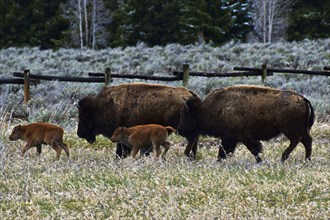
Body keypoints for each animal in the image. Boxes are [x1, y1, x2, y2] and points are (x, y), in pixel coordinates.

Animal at [178, 85, 314, 162]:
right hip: (301, 128)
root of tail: (301, 98)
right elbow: (222, 152)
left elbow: (254, 149)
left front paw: (259, 161)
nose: (180, 130)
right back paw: (306, 160)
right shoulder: (228, 138)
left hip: (288, 128)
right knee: (307, 140)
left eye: (186, 115)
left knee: (296, 139)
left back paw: (283, 157)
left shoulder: (242, 135)